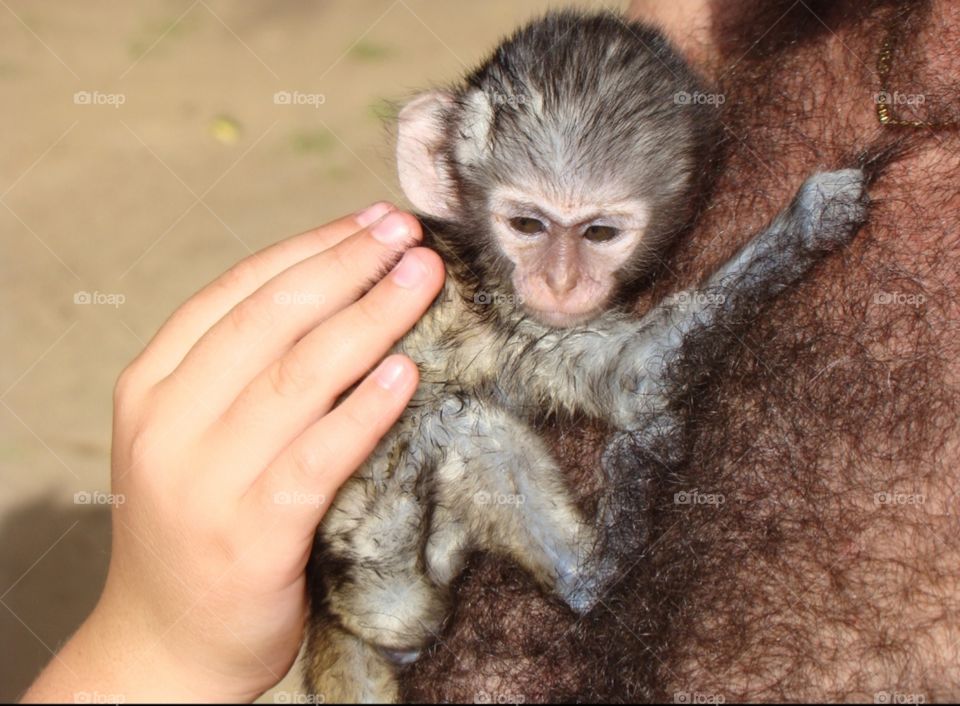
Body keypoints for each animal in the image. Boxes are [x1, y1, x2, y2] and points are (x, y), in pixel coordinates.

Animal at [302, 11, 870, 703]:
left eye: (599, 233)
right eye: (527, 225)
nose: (560, 282)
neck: (480, 258)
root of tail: (331, 610)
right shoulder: (512, 315)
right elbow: (636, 376)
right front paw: (808, 219)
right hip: (378, 553)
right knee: (452, 420)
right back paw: (592, 566)